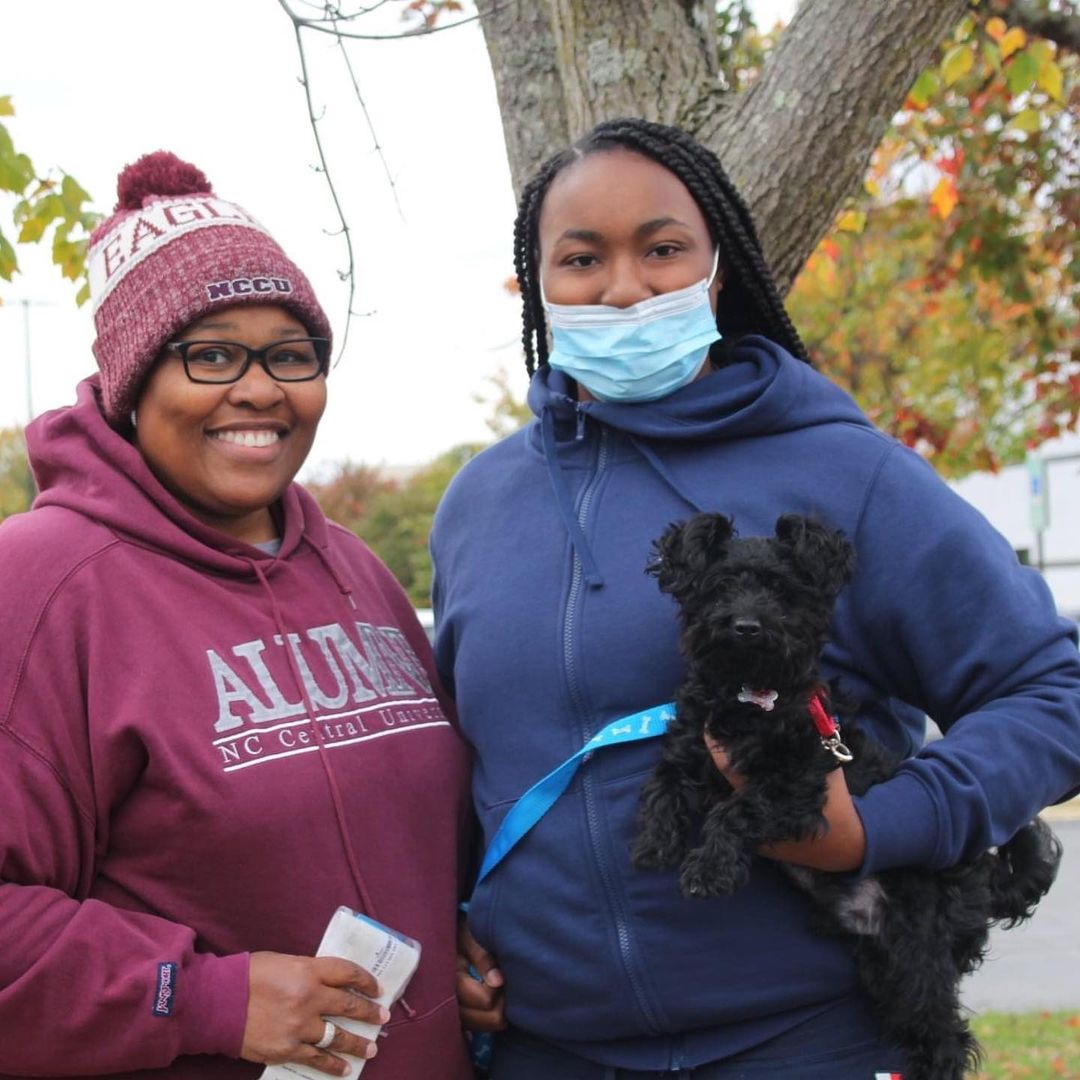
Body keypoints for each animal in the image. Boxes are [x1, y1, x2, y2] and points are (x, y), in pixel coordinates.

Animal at [630, 511, 1062, 1080]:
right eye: (721, 587)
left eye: (782, 592)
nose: (746, 625)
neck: (752, 696)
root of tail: (981, 882)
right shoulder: (692, 742)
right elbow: (665, 784)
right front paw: (654, 842)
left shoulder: (797, 785)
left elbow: (734, 810)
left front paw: (709, 869)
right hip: (882, 965)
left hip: (917, 952)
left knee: (948, 1035)